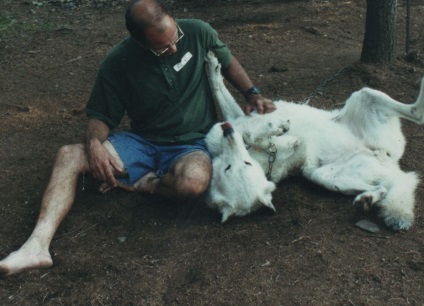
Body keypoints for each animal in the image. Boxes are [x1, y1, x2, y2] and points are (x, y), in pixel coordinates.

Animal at [204, 50, 422, 230]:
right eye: (229, 168)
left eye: (246, 164)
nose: (228, 132)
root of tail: (388, 159)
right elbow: (251, 133)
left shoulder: (238, 118)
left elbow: (225, 97)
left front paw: (212, 63)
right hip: (324, 177)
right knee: (383, 187)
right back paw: (367, 199)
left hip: (365, 94)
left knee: (417, 113)